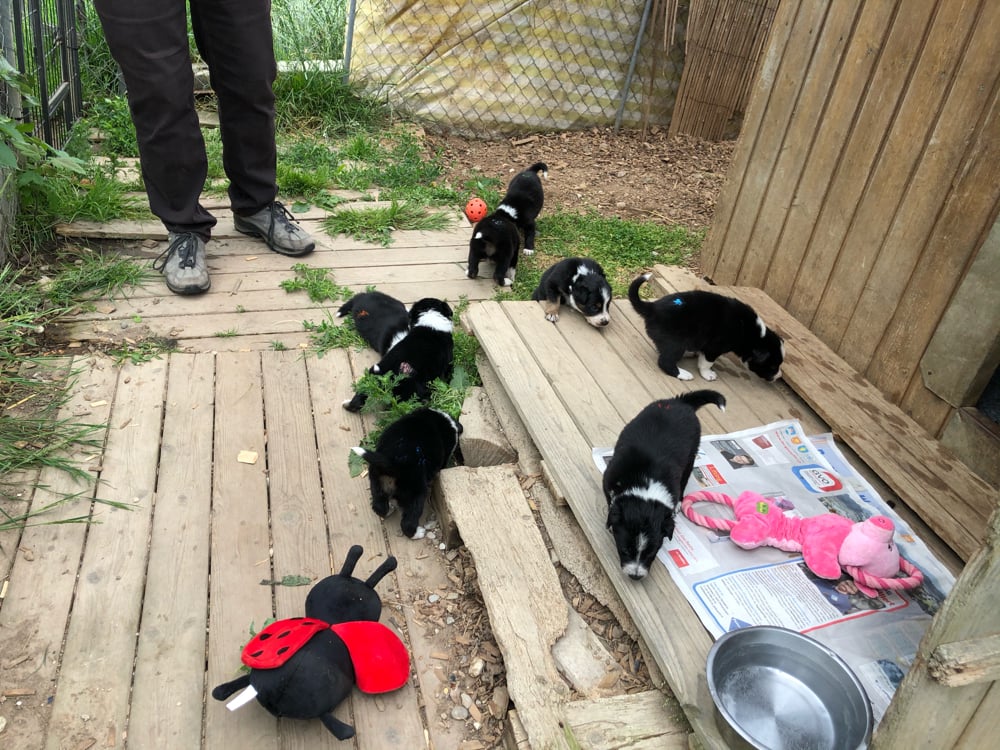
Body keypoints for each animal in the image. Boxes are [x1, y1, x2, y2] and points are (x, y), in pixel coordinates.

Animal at [352, 408, 464, 538]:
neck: (439, 420)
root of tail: (393, 462)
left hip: (376, 481)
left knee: (379, 506)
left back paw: (388, 509)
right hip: (416, 492)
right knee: (408, 522)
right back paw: (417, 533)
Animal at [604, 390, 726, 580]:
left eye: (652, 553)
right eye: (624, 550)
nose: (636, 576)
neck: (645, 482)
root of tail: (681, 402)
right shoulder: (608, 478)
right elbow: (610, 503)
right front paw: (610, 524)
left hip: (691, 454)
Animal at [628, 274, 784, 382]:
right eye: (772, 366)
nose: (779, 376)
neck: (751, 334)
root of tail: (652, 308)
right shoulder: (713, 348)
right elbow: (706, 363)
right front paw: (707, 374)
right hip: (675, 343)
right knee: (665, 361)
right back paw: (683, 374)